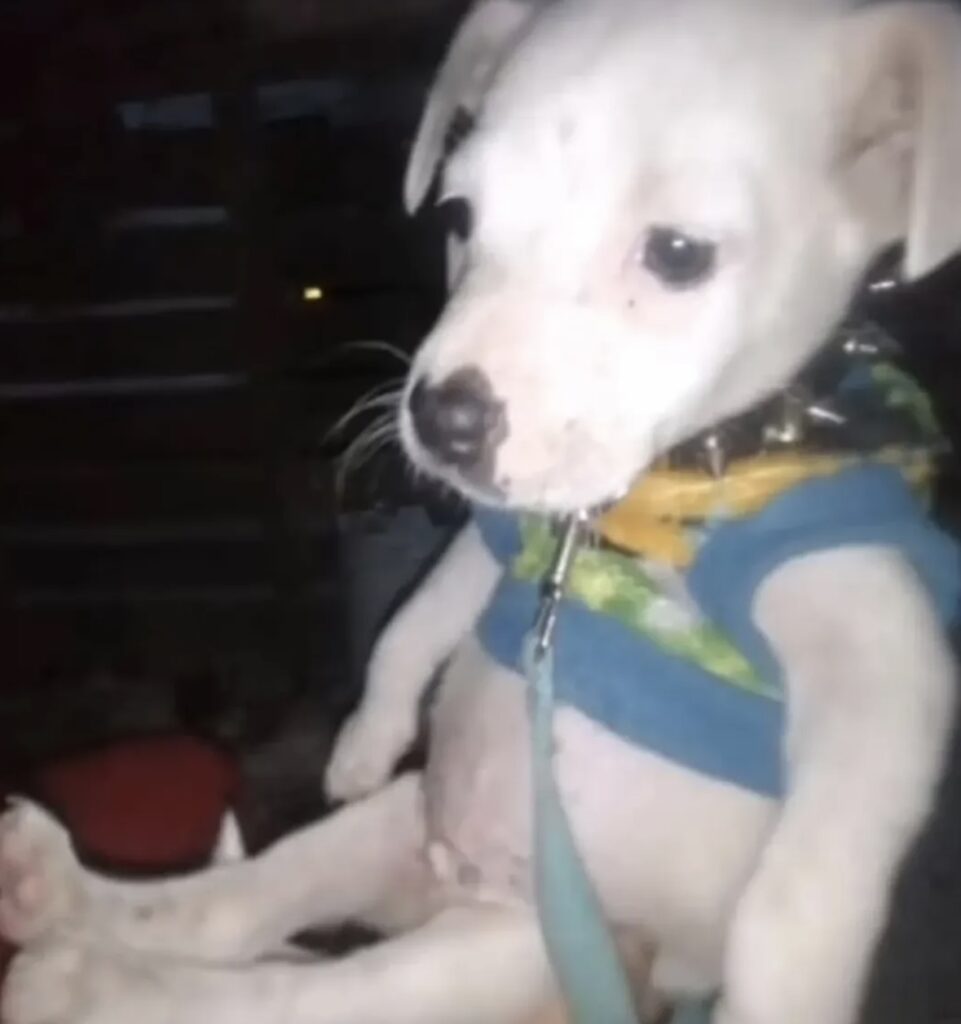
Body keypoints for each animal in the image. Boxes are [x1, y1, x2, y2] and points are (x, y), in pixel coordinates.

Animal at [1, 1, 960, 1022]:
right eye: (460, 218)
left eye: (677, 255)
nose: (441, 420)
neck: (626, 512)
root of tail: (441, 886)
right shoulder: (497, 533)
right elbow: (416, 616)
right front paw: (365, 737)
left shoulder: (875, 645)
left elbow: (804, 888)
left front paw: (776, 994)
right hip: (393, 828)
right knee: (228, 913)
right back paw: (56, 899)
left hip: (501, 949)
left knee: (293, 992)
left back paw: (80, 979)